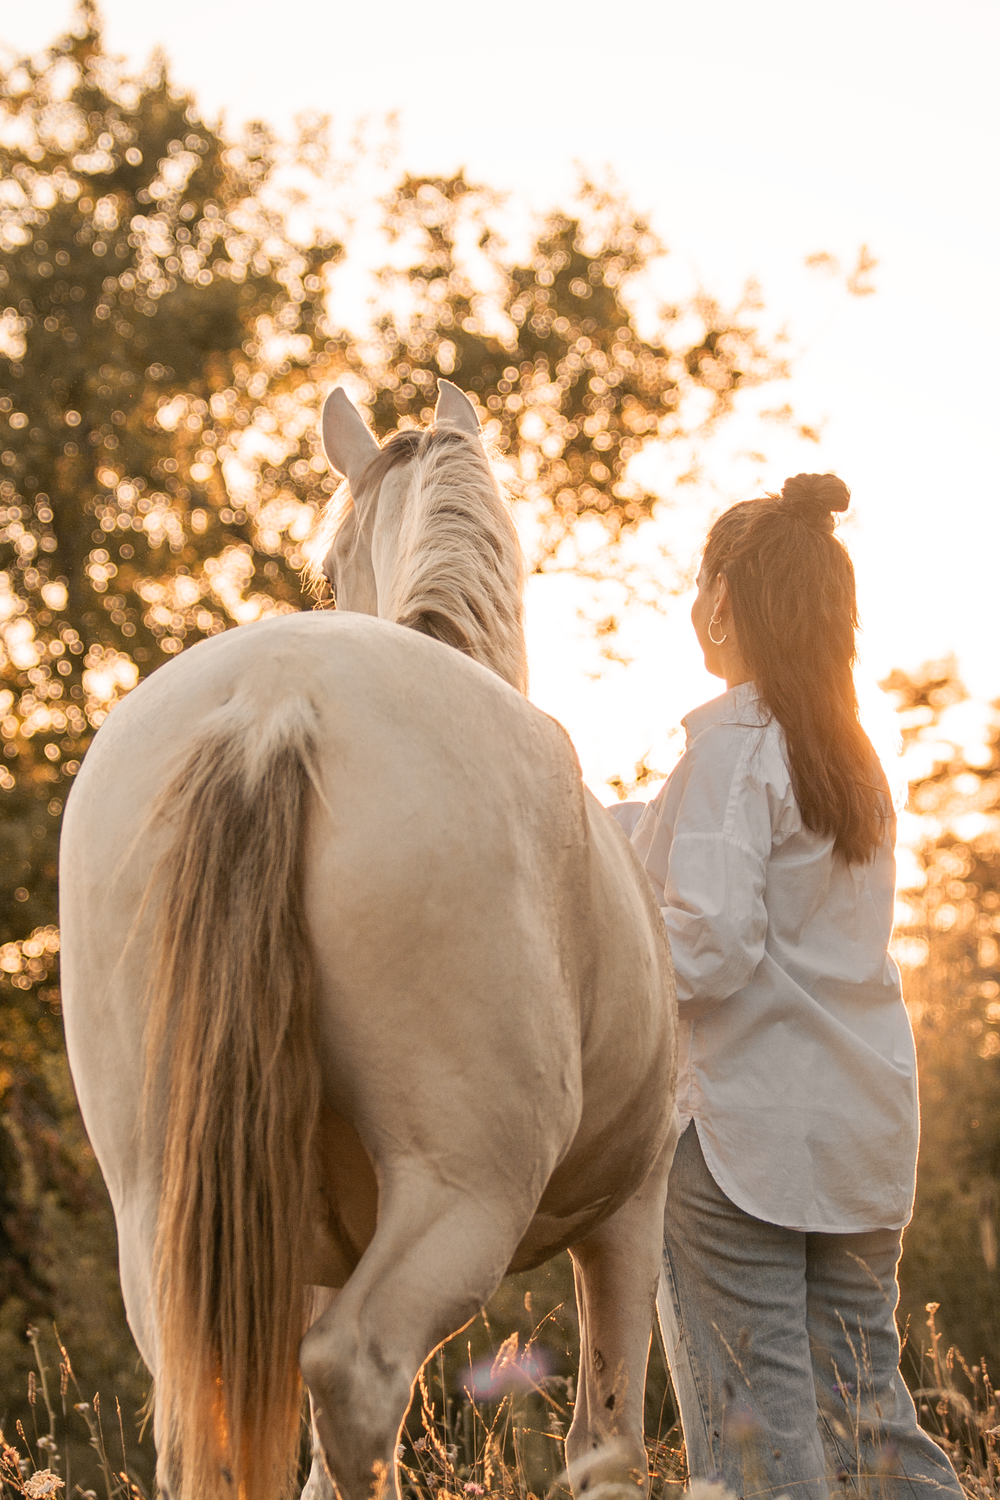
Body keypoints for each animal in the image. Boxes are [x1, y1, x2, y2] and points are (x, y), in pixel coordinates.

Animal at [58, 377, 678, 1500]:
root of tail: (274, 699)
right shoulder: (628, 1212)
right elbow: (604, 1446)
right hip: (464, 1195)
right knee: (357, 1379)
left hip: (167, 1216)